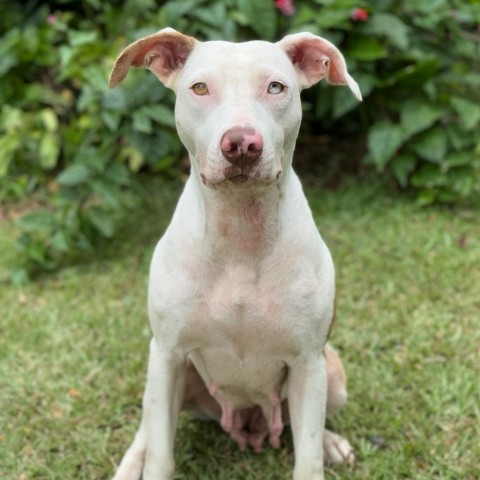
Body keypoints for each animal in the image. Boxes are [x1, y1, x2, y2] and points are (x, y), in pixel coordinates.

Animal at [109, 28, 362, 478]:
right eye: (200, 88)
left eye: (276, 87)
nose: (242, 143)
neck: (241, 230)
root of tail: (248, 422)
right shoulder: (167, 354)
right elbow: (160, 453)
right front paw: (147, 462)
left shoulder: (308, 363)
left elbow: (308, 455)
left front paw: (322, 448)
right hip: (169, 373)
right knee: (148, 425)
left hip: (331, 374)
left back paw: (331, 442)